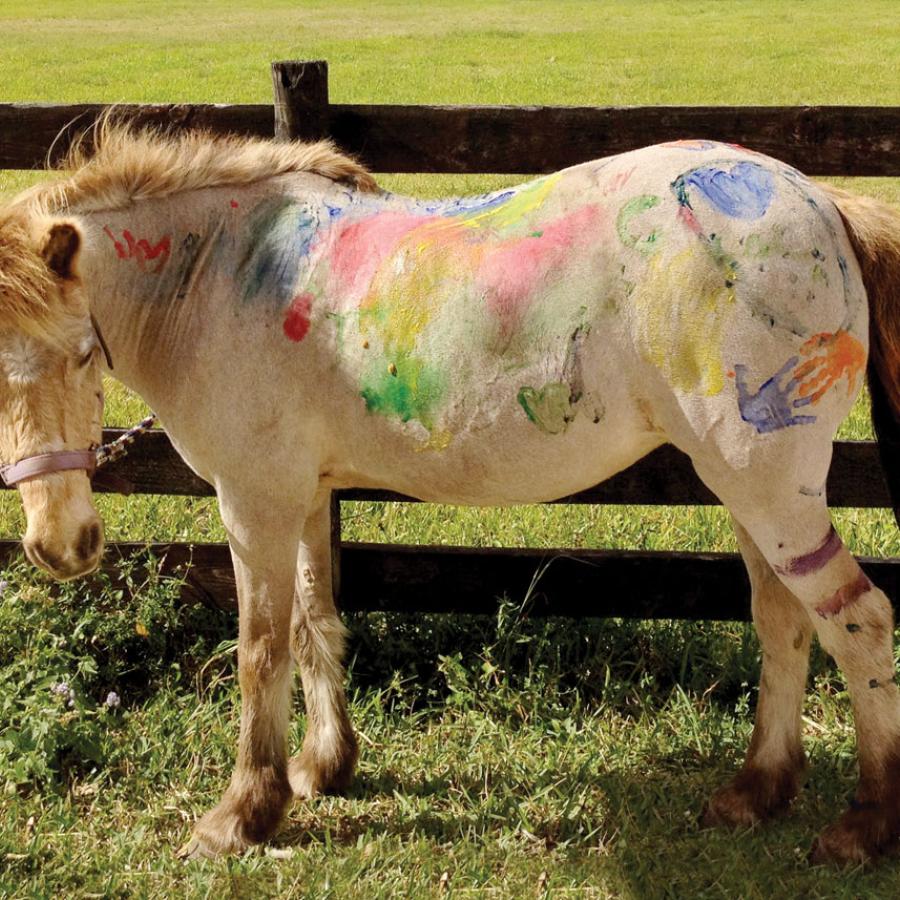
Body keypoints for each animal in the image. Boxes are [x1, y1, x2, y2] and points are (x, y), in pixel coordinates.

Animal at [1, 126, 900, 864]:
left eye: (80, 355)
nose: (61, 547)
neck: (224, 274)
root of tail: (823, 201)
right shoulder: (303, 496)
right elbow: (314, 624)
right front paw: (324, 767)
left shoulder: (254, 502)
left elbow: (261, 650)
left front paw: (242, 816)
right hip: (747, 492)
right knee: (784, 622)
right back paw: (756, 791)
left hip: (769, 489)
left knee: (858, 621)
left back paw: (865, 824)